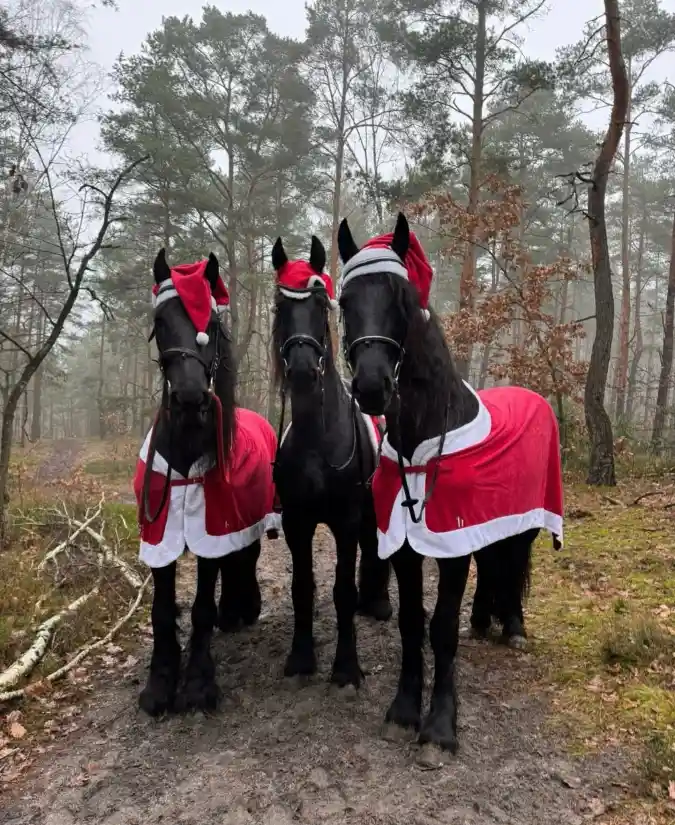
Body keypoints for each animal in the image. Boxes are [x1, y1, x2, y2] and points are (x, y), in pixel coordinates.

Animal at [133, 249, 281, 715]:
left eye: (211, 326)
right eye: (161, 321)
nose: (190, 399)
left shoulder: (208, 527)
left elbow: (198, 607)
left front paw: (198, 685)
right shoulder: (159, 533)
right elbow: (162, 610)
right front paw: (160, 684)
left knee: (245, 558)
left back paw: (241, 609)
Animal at [271, 234, 392, 688]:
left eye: (321, 305)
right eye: (279, 306)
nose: (303, 371)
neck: (318, 443)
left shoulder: (346, 519)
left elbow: (341, 590)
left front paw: (346, 666)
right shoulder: (297, 522)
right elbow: (302, 587)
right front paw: (302, 657)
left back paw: (378, 603)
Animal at [336, 213, 563, 752]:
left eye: (402, 299)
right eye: (345, 301)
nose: (372, 387)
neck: (423, 441)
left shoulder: (451, 542)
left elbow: (440, 627)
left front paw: (440, 725)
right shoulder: (407, 544)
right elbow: (411, 622)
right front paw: (403, 710)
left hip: (523, 523)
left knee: (513, 561)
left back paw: (513, 627)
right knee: (493, 563)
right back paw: (482, 621)